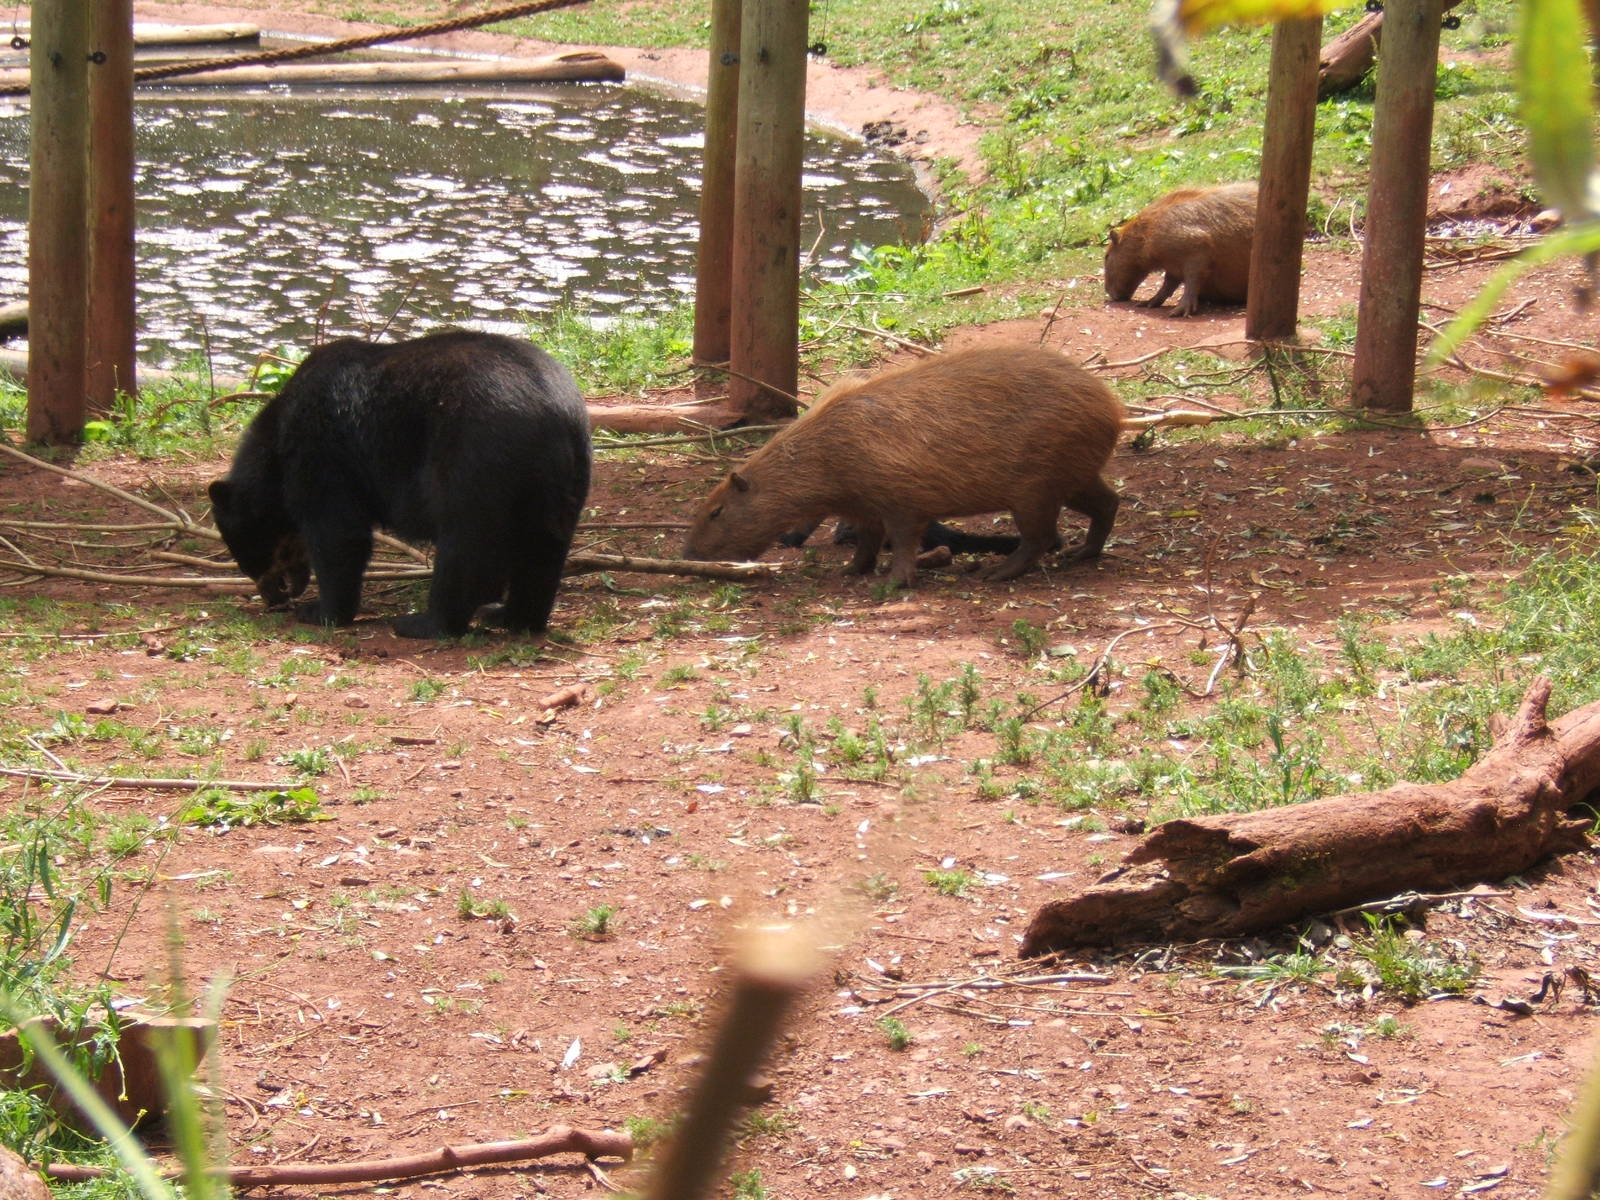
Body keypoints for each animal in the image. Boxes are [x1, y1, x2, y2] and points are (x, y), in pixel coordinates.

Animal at [208, 330, 592, 639]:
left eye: (247, 550)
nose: (274, 598)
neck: (274, 446)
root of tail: (553, 413)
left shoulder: (320, 452)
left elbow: (338, 533)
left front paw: (320, 611)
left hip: (475, 459)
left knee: (465, 544)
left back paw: (424, 623)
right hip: (558, 484)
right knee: (543, 550)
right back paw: (512, 617)